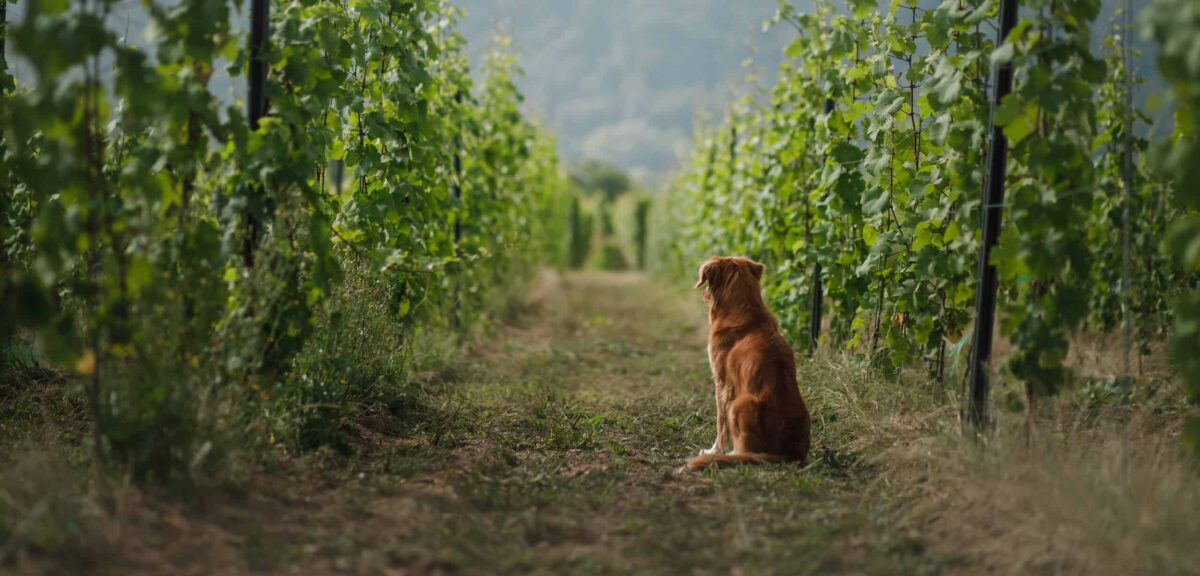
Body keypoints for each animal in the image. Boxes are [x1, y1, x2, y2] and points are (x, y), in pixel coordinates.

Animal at [691, 258, 811, 472]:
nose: (704, 295)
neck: (746, 312)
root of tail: (789, 454)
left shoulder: (723, 384)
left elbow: (721, 424)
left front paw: (714, 451)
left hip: (741, 404)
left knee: (747, 450)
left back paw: (731, 455)